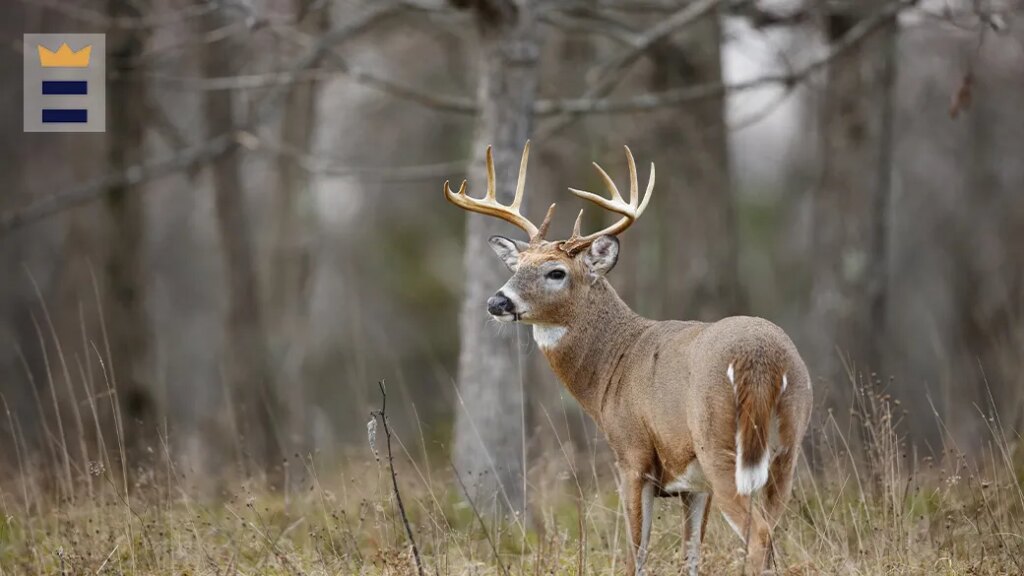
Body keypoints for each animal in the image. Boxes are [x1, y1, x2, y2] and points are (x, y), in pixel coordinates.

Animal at [444, 142, 813, 576]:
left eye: (556, 272)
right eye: (517, 266)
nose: (497, 302)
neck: (612, 366)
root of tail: (761, 359)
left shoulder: (632, 454)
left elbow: (636, 551)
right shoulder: (693, 483)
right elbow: (691, 554)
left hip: (720, 444)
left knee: (758, 535)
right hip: (787, 447)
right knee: (771, 529)